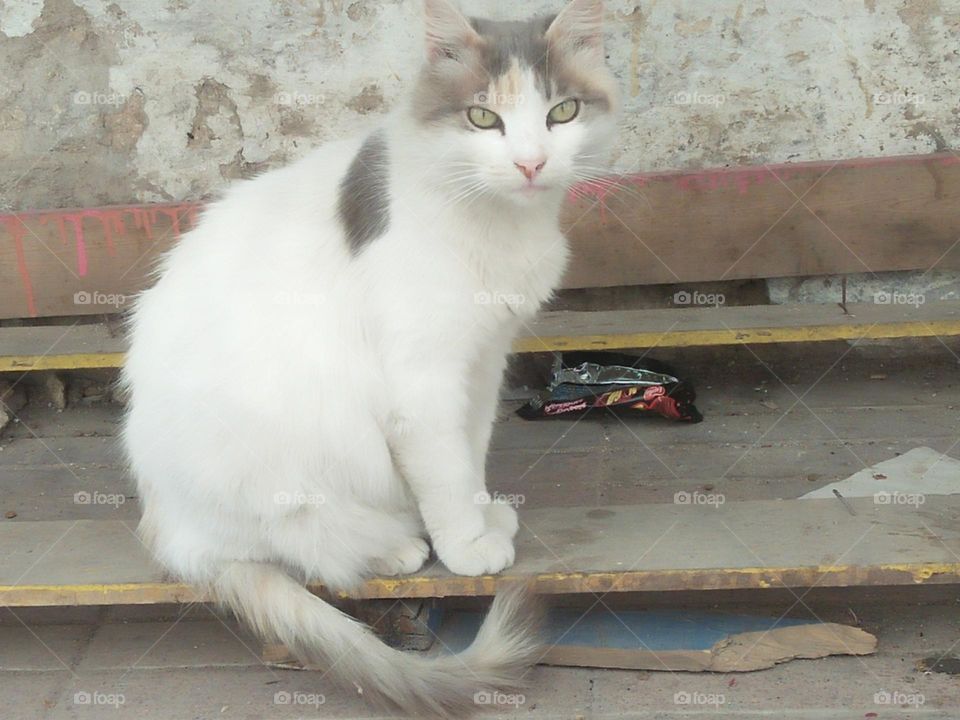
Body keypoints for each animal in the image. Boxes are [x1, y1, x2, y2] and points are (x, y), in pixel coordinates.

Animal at [122, 0, 616, 716]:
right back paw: (394, 549)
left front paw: (481, 512)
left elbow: (470, 454)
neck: (499, 224)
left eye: (563, 112)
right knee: (305, 550)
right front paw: (467, 546)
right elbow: (444, 472)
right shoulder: (423, 381)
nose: (530, 164)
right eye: (482, 118)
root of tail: (165, 520)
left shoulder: (482, 361)